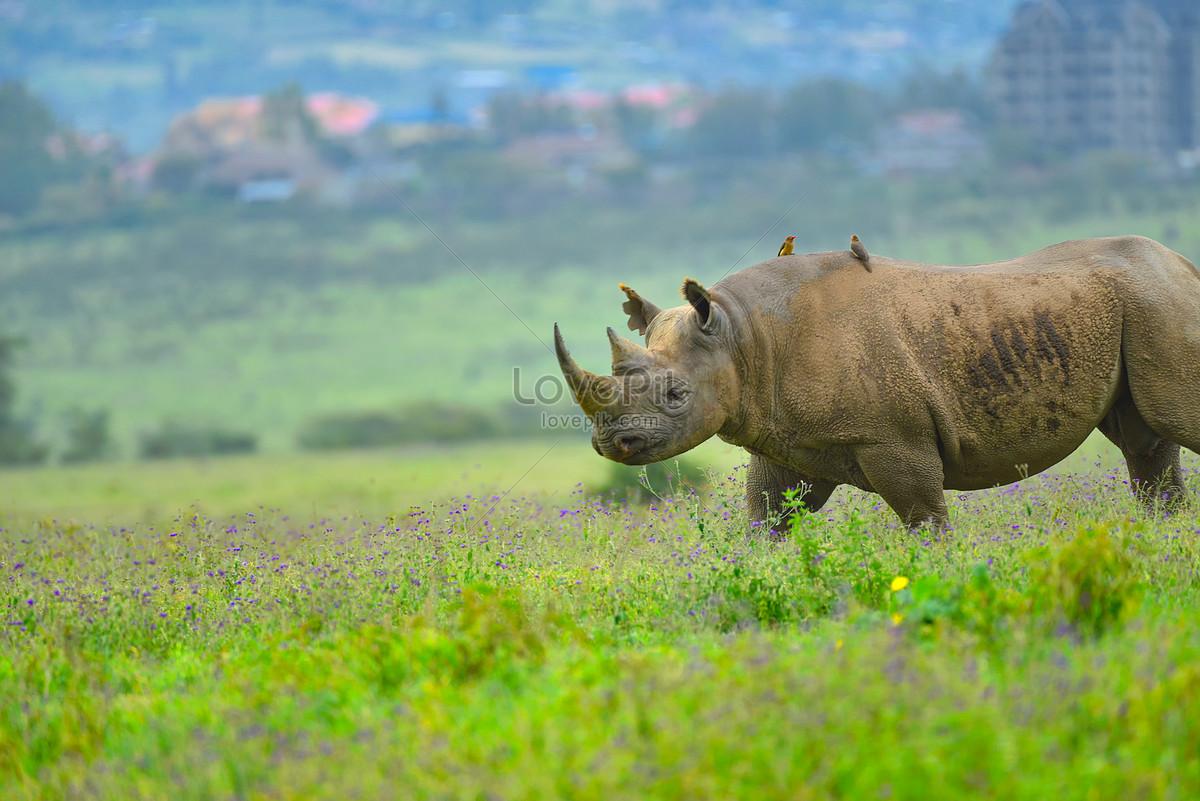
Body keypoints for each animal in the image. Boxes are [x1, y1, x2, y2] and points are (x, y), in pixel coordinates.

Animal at [554, 236, 1200, 530]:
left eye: (676, 396)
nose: (612, 445)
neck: (742, 337)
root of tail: (1183, 264)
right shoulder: (786, 438)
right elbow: (767, 518)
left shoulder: (895, 442)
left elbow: (924, 520)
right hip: (1141, 307)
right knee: (1145, 442)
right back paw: (1164, 539)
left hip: (1159, 302)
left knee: (1171, 421)